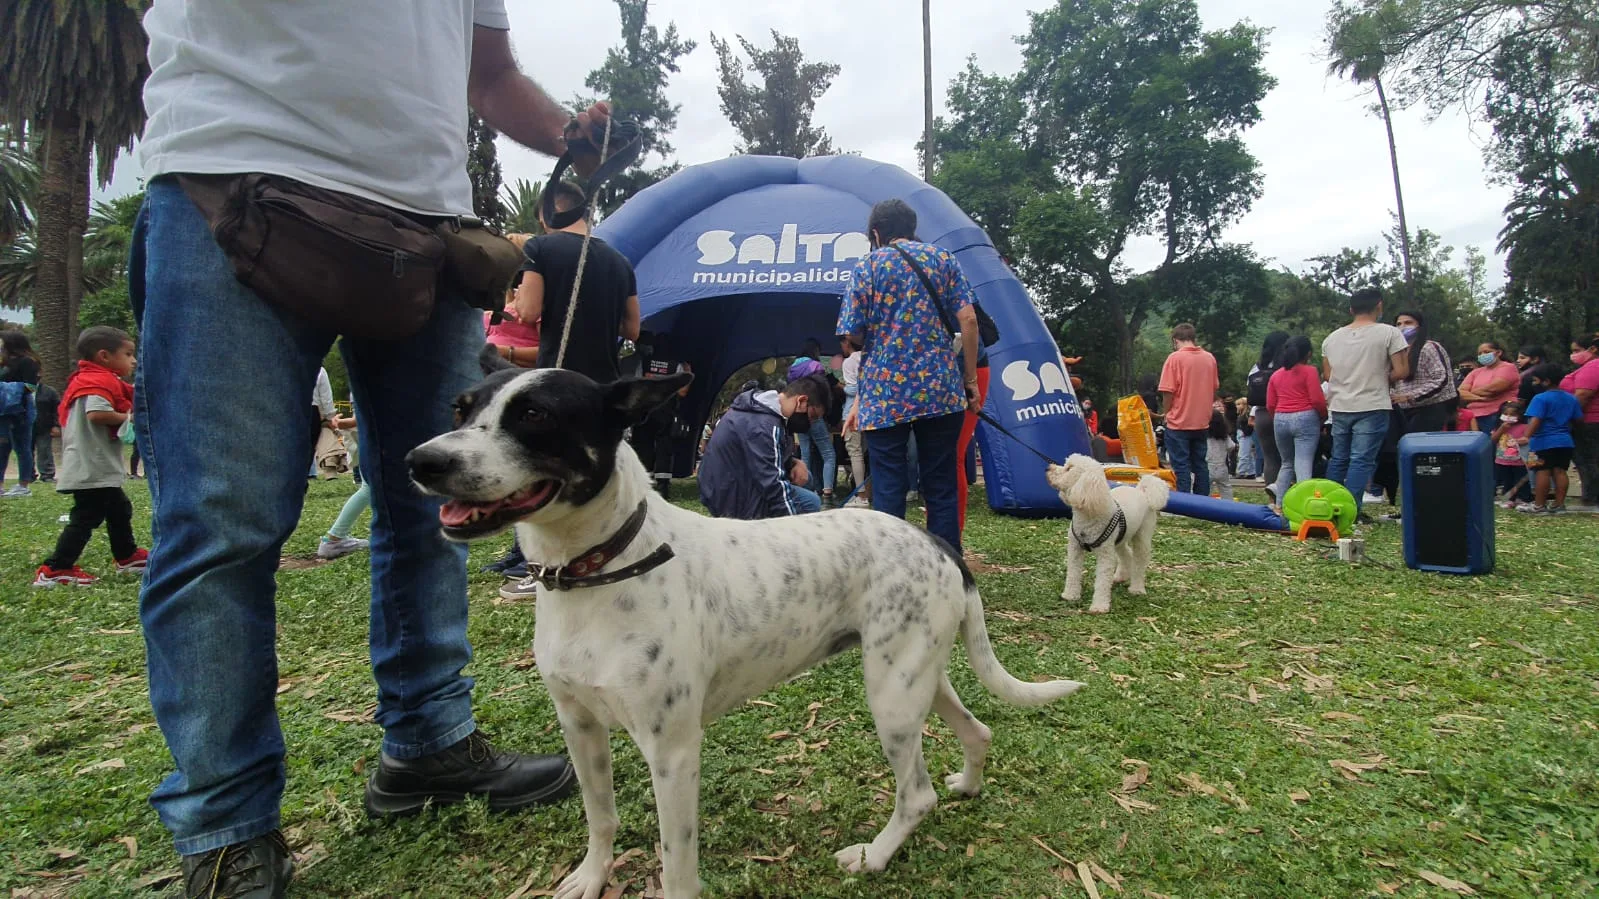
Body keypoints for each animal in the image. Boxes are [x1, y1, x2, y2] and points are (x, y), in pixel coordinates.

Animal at [412, 367, 1087, 889]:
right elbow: (600, 817)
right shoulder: (579, 728)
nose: (423, 461)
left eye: (535, 415)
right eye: (461, 408)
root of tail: (936, 540)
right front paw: (592, 876)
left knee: (916, 794)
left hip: (892, 697)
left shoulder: (673, 753)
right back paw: (966, 785)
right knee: (978, 730)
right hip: (915, 676)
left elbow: (676, 865)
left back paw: (873, 856)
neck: (598, 568)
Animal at [1042, 451, 1170, 611]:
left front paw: (1099, 606)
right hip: (1120, 538)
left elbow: (1102, 581)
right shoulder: (1075, 549)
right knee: (1126, 554)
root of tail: (1141, 490)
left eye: (1069, 468)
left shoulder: (1105, 555)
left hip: (1142, 536)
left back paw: (1137, 589)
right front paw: (1070, 595)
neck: (1088, 514)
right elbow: (1073, 573)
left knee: (1139, 561)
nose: (1047, 468)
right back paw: (1120, 576)